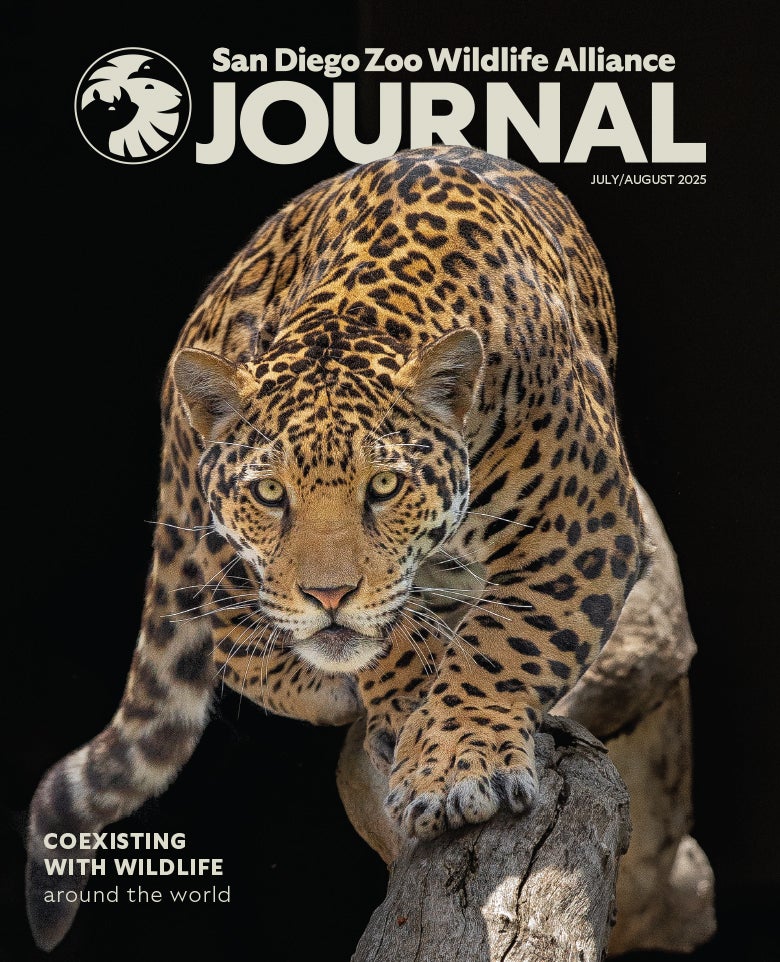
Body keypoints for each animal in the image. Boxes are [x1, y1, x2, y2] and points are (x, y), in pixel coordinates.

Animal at [25, 144, 647, 951]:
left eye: (383, 485)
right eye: (269, 493)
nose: (327, 597)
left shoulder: (584, 522)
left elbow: (509, 640)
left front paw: (454, 766)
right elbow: (393, 639)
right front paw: (407, 698)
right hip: (208, 542)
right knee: (233, 635)